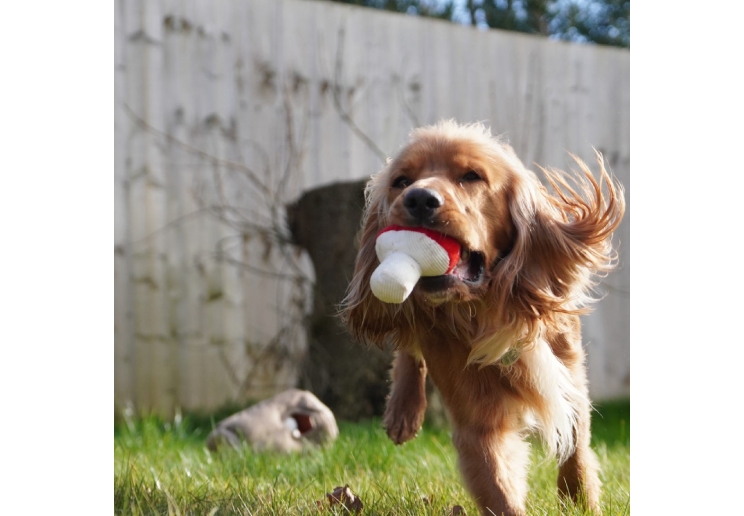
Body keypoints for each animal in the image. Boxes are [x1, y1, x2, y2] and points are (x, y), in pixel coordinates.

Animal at [340, 119, 624, 512]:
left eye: (471, 176)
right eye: (401, 180)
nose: (418, 199)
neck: (486, 311)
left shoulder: (568, 375)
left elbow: (575, 450)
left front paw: (580, 502)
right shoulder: (477, 421)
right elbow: (500, 490)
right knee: (409, 348)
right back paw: (403, 410)